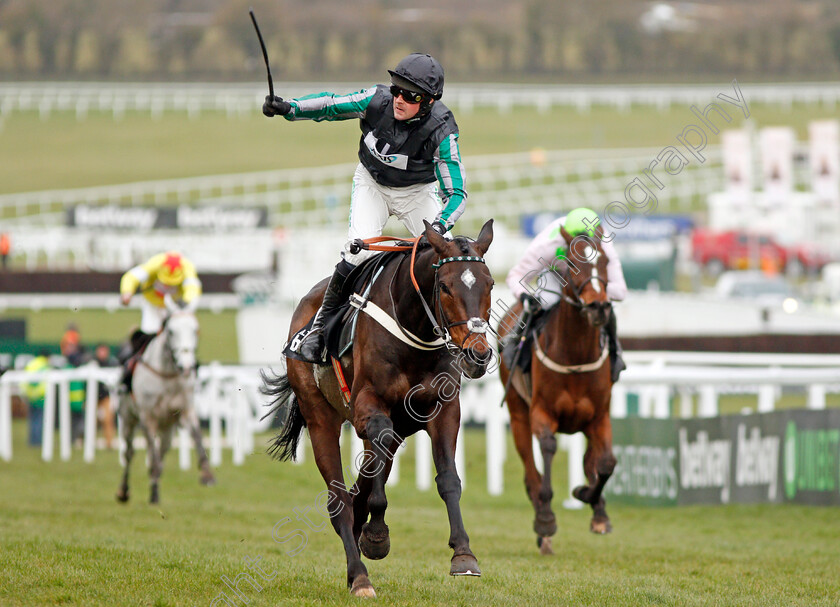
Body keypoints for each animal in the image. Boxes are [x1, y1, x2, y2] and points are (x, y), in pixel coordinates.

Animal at [116, 296, 215, 506]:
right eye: (171, 331)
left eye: (195, 329)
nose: (186, 366)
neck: (168, 375)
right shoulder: (147, 418)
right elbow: (151, 457)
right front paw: (153, 494)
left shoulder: (186, 411)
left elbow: (198, 437)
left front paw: (207, 474)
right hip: (129, 419)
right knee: (129, 453)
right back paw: (124, 490)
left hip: (168, 428)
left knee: (161, 452)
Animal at [264, 220, 492, 600]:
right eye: (445, 286)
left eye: (489, 283)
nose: (479, 354)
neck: (413, 328)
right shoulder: (365, 407)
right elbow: (372, 482)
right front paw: (376, 536)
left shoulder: (443, 410)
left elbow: (447, 479)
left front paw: (464, 555)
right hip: (320, 416)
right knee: (339, 499)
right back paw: (359, 576)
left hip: (399, 423)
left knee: (368, 476)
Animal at [498, 224, 616, 556]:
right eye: (572, 264)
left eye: (604, 262)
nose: (599, 307)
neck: (575, 354)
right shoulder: (542, 413)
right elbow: (548, 450)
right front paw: (546, 521)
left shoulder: (599, 416)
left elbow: (606, 462)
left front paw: (591, 501)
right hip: (518, 413)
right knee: (531, 473)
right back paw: (542, 525)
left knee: (590, 460)